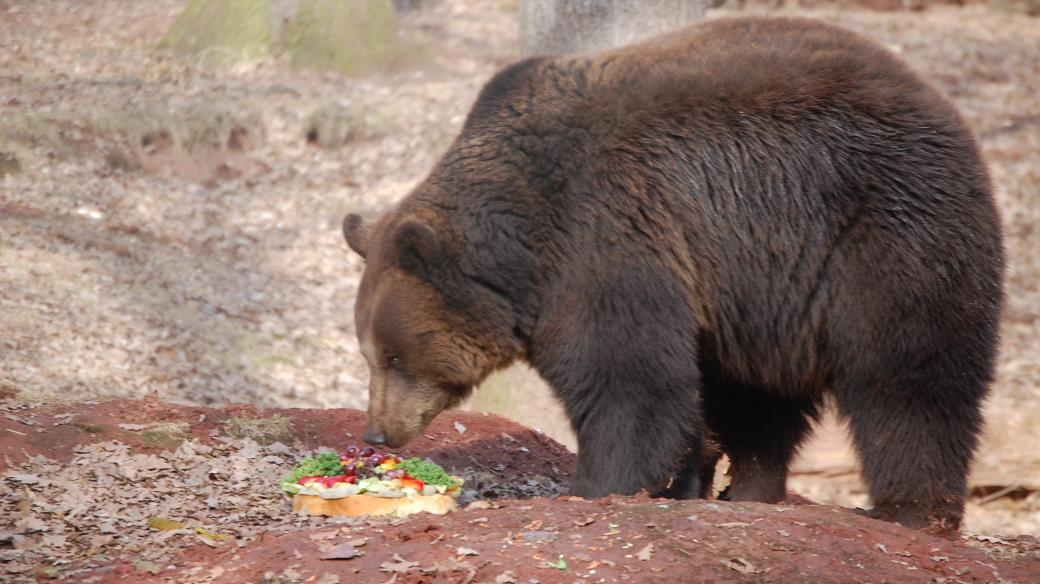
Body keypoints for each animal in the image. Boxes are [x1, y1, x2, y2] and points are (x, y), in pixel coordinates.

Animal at [345, 15, 1002, 529]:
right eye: (370, 354)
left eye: (396, 356)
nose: (377, 432)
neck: (523, 251)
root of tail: (942, 104)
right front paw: (679, 485)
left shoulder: (605, 240)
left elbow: (629, 380)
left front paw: (595, 485)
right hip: (763, 291)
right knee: (755, 397)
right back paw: (749, 490)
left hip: (880, 230)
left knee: (909, 380)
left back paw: (912, 509)